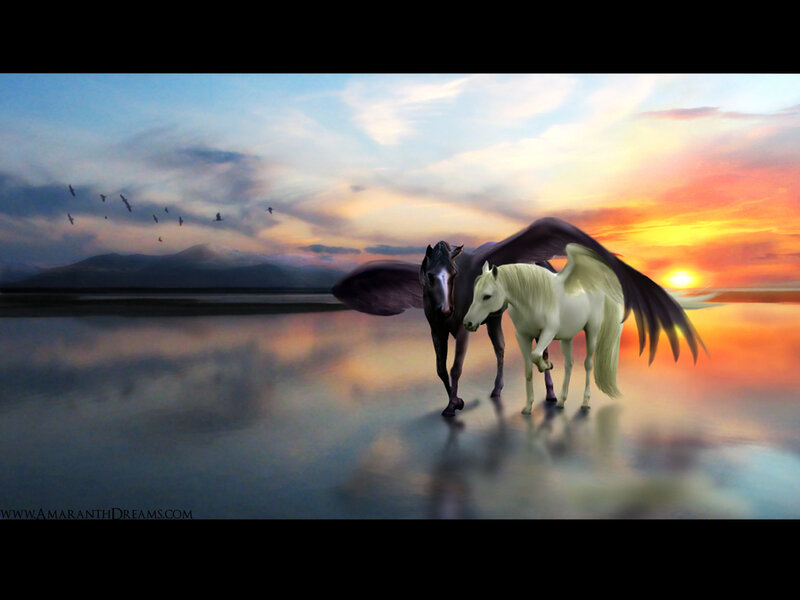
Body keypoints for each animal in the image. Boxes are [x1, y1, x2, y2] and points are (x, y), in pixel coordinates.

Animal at [464, 244, 633, 413]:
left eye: (487, 296)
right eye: (474, 293)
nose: (468, 323)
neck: (533, 300)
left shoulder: (548, 332)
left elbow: (536, 355)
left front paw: (547, 365)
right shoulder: (522, 336)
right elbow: (528, 369)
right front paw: (528, 407)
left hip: (591, 331)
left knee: (587, 364)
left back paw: (585, 402)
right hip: (567, 338)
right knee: (569, 364)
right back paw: (561, 401)